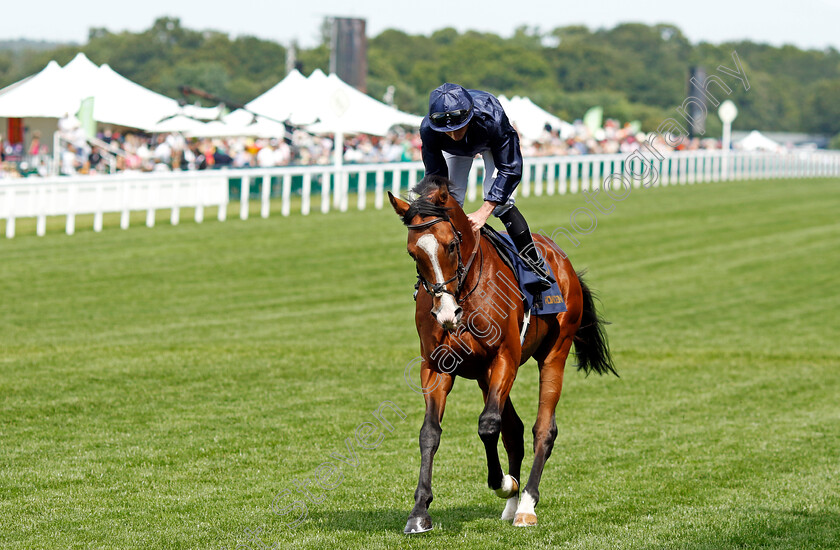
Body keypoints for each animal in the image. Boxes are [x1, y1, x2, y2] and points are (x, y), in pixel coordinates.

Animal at [388, 176, 616, 536]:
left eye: (450, 245)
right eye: (413, 252)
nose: (445, 312)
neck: (466, 294)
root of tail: (563, 261)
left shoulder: (504, 357)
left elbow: (487, 425)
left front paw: (504, 483)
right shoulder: (437, 366)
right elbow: (430, 432)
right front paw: (419, 512)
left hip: (555, 352)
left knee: (542, 429)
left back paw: (525, 505)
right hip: (485, 377)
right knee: (515, 430)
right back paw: (511, 506)